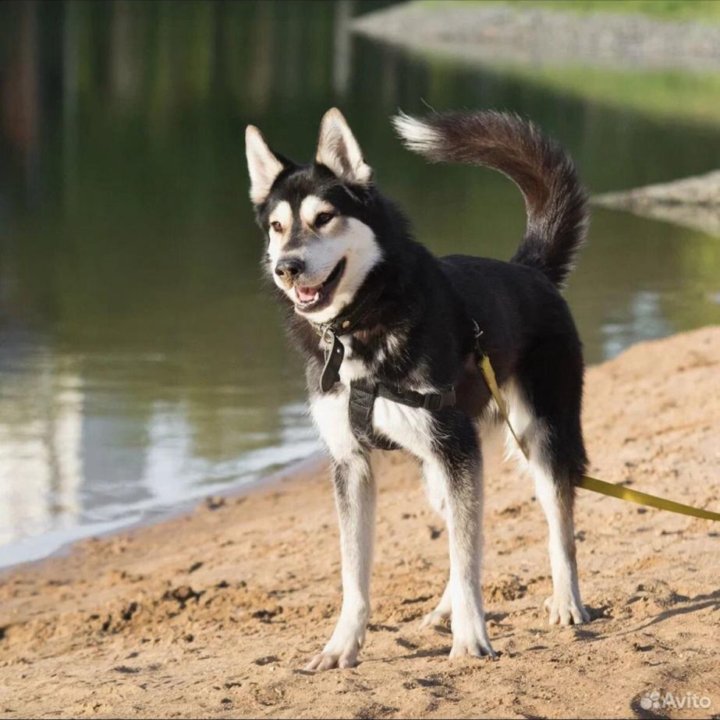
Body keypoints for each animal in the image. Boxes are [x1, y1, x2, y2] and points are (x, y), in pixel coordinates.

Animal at [248, 107, 592, 668]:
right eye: (277, 227)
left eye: (325, 218)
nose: (287, 268)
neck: (363, 325)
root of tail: (529, 270)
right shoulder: (352, 462)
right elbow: (355, 572)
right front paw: (342, 645)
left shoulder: (458, 449)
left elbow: (469, 556)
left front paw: (471, 638)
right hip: (437, 469)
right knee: (463, 533)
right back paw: (444, 610)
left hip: (539, 438)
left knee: (556, 529)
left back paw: (566, 602)